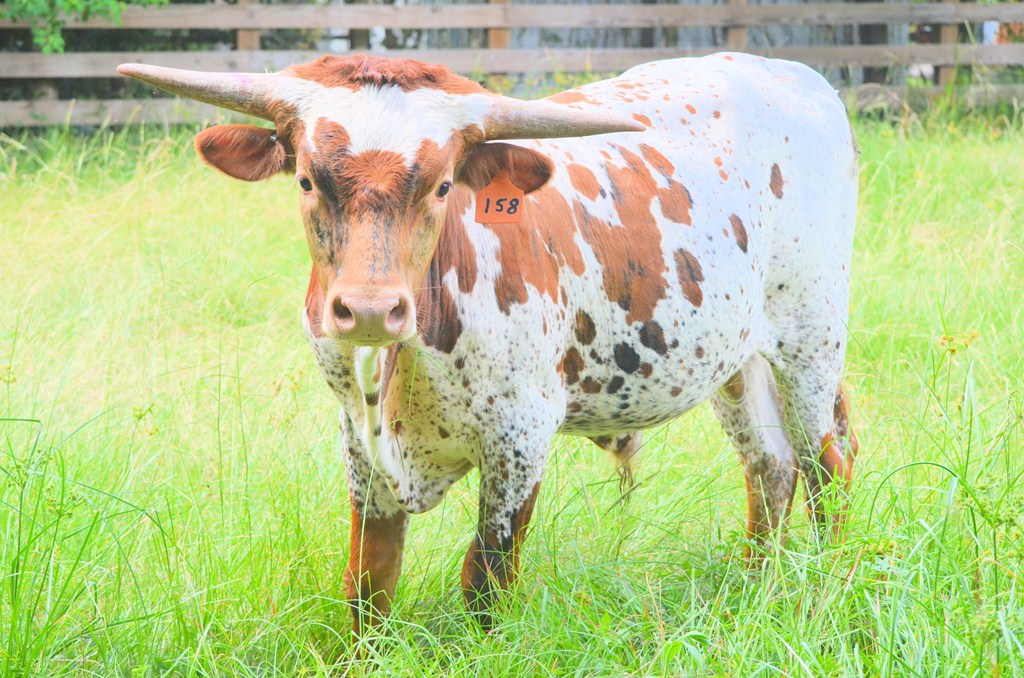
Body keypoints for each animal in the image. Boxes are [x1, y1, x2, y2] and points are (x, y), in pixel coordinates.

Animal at [118, 53, 859, 637]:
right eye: (306, 178)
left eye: (443, 185)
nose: (369, 309)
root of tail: (793, 73)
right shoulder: (359, 441)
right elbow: (368, 584)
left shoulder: (521, 435)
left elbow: (485, 577)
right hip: (736, 359)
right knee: (770, 468)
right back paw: (756, 587)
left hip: (811, 337)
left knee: (827, 464)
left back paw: (831, 580)